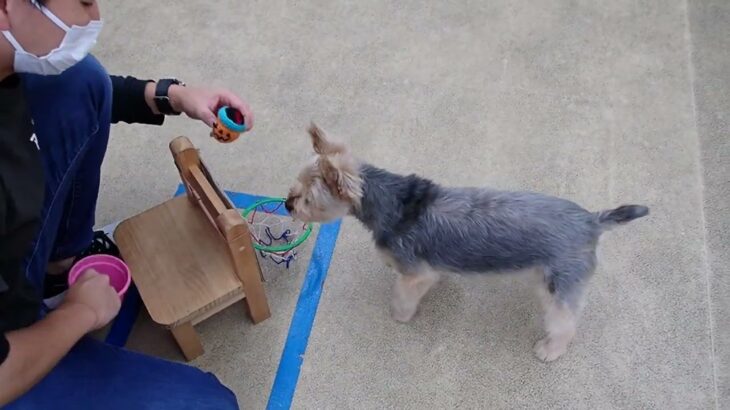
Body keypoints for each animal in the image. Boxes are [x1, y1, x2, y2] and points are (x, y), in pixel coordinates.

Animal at [286, 123, 648, 360]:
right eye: (296, 184)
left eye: (308, 200)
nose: (287, 204)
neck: (393, 200)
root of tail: (592, 220)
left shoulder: (415, 274)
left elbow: (403, 295)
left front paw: (400, 315)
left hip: (559, 287)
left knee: (565, 324)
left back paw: (550, 350)